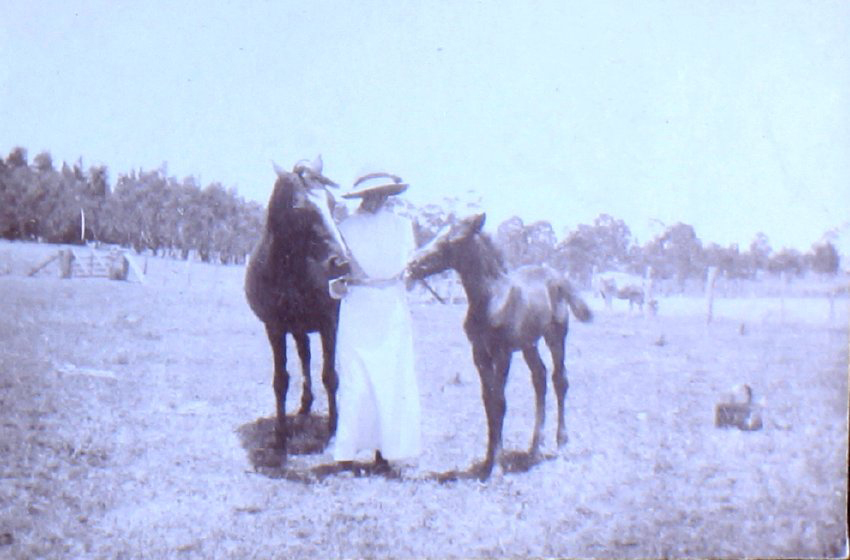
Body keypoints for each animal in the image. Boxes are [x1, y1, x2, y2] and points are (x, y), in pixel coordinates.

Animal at [245, 157, 350, 458]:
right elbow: (281, 380)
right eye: (298, 206)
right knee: (304, 356)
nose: (341, 263)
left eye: (331, 202)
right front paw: (280, 435)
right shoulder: (275, 327)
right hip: (297, 329)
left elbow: (330, 375)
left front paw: (334, 428)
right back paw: (304, 404)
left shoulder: (329, 323)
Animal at [407, 213, 592, 480]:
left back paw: (562, 443)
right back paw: (535, 447)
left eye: (452, 239)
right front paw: (487, 462)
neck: (492, 298)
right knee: (540, 378)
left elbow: (500, 402)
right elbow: (488, 401)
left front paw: (497, 467)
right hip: (528, 344)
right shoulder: (479, 353)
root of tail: (559, 277)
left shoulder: (502, 353)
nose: (413, 263)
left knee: (560, 379)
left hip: (556, 335)